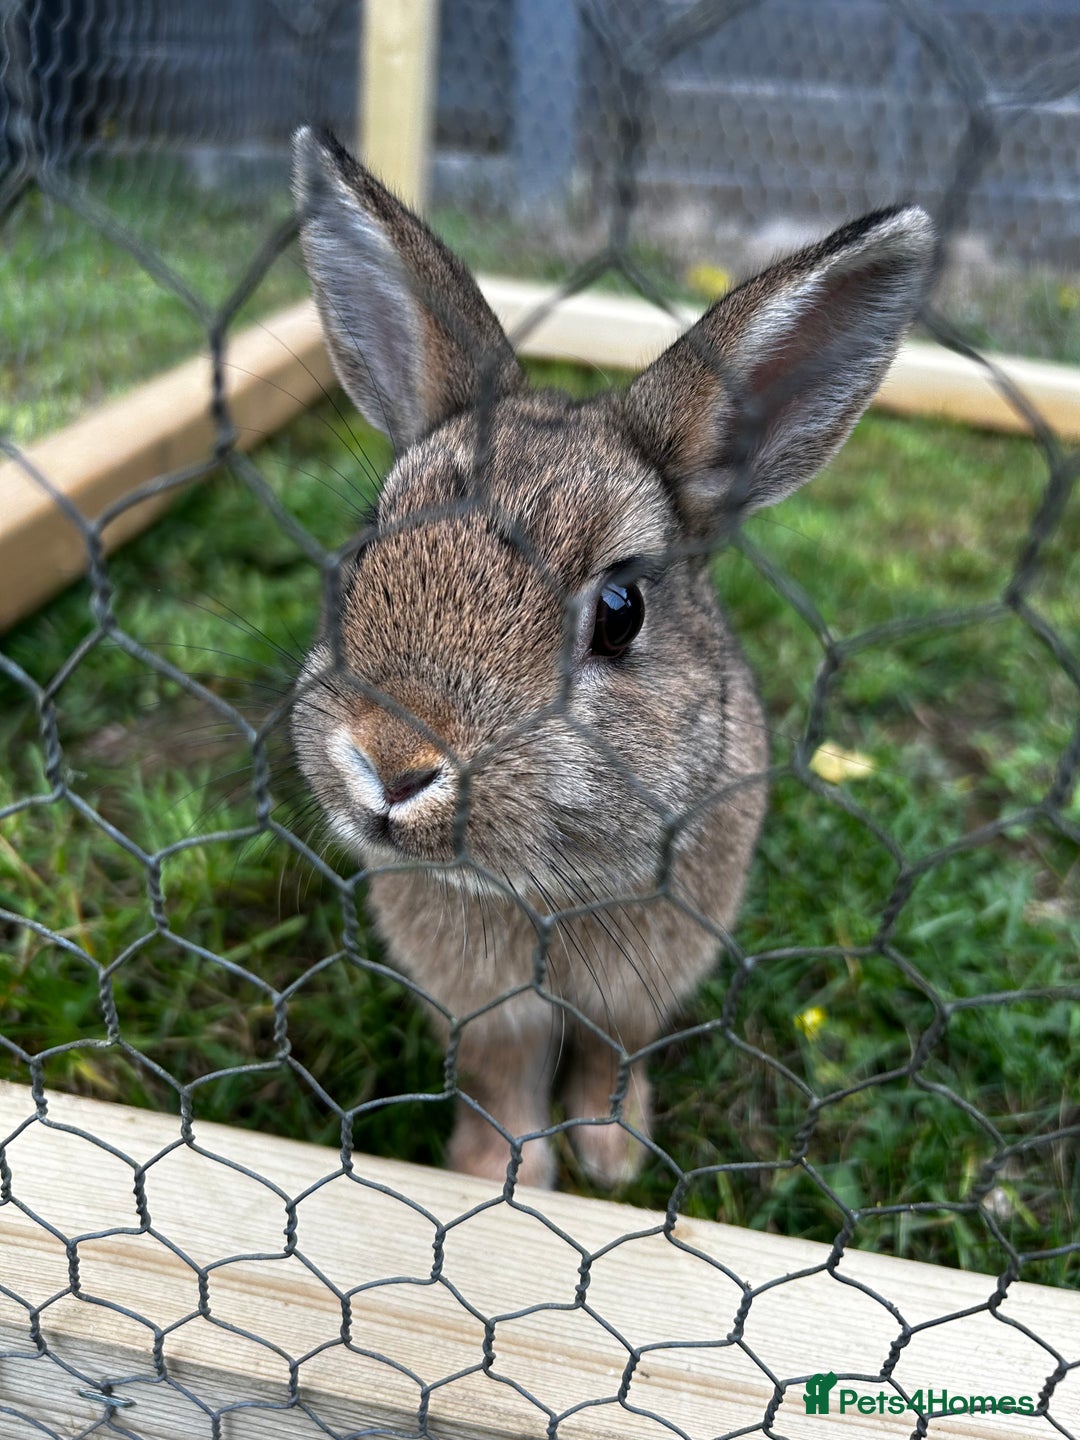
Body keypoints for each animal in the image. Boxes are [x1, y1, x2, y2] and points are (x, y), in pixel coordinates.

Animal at [289, 125, 933, 1190]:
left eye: (622, 612)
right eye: (367, 543)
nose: (391, 763)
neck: (546, 894)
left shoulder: (643, 990)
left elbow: (611, 1056)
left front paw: (611, 1154)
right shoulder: (485, 1012)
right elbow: (502, 1078)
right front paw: (496, 1173)